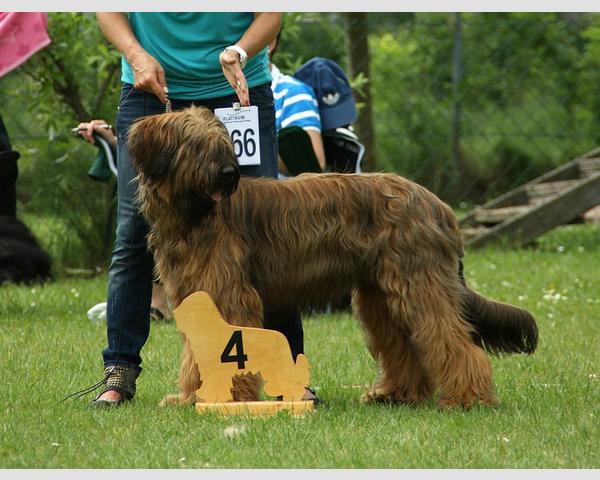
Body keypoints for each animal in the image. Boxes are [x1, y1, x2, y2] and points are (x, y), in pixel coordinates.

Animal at [127, 106, 540, 408]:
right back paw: (396, 395)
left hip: (419, 284)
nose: (228, 173)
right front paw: (189, 397)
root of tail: (437, 203)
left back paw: (468, 398)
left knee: (452, 341)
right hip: (380, 296)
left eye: (221, 144)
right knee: (403, 346)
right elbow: (195, 354)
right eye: (195, 145)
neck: (193, 217)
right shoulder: (194, 298)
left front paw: (227, 398)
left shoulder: (228, 295)